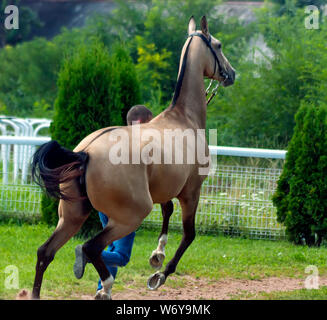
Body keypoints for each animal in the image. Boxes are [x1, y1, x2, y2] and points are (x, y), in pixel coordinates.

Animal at [27, 15, 233, 300]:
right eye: (218, 45)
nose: (231, 74)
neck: (184, 118)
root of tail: (85, 153)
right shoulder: (191, 191)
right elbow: (188, 235)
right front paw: (159, 275)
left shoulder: (163, 188)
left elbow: (167, 212)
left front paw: (157, 255)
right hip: (131, 215)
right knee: (90, 247)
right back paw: (104, 286)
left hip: (71, 216)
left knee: (45, 252)